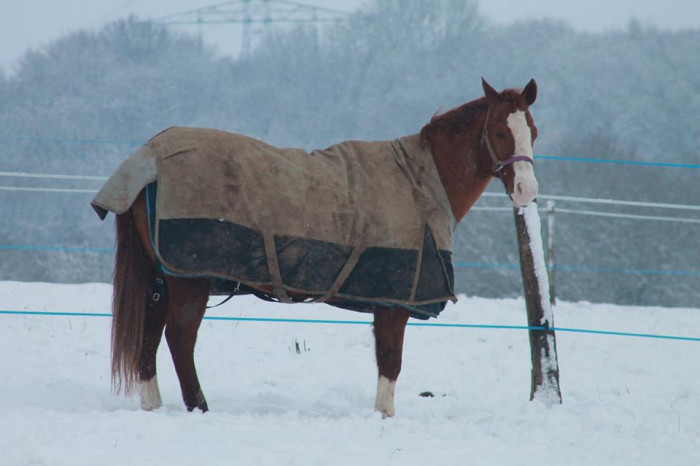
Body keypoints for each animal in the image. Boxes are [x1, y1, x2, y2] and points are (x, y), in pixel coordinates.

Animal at [100, 78, 536, 416]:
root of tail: (147, 160)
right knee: (179, 338)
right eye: (500, 131)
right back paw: (199, 407)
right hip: (189, 279)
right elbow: (390, 363)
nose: (527, 190)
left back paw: (154, 405)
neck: (421, 181)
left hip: (162, 278)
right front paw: (384, 418)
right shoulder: (394, 302)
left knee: (149, 337)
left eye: (532, 129)